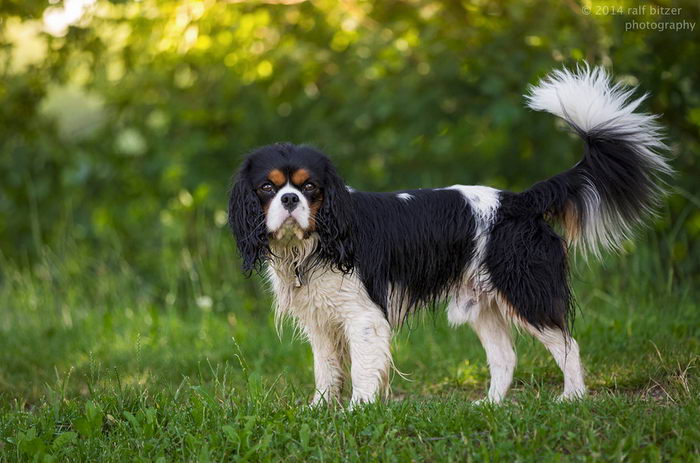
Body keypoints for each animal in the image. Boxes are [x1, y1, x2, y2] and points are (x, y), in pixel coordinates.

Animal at [227, 66, 668, 406]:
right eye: (267, 188)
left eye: (310, 187)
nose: (289, 199)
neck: (313, 243)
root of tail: (519, 201)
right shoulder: (321, 321)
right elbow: (327, 370)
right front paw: (320, 410)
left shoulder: (364, 317)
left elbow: (363, 370)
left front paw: (357, 411)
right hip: (483, 303)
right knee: (505, 356)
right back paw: (490, 405)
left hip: (524, 289)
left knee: (567, 344)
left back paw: (571, 398)